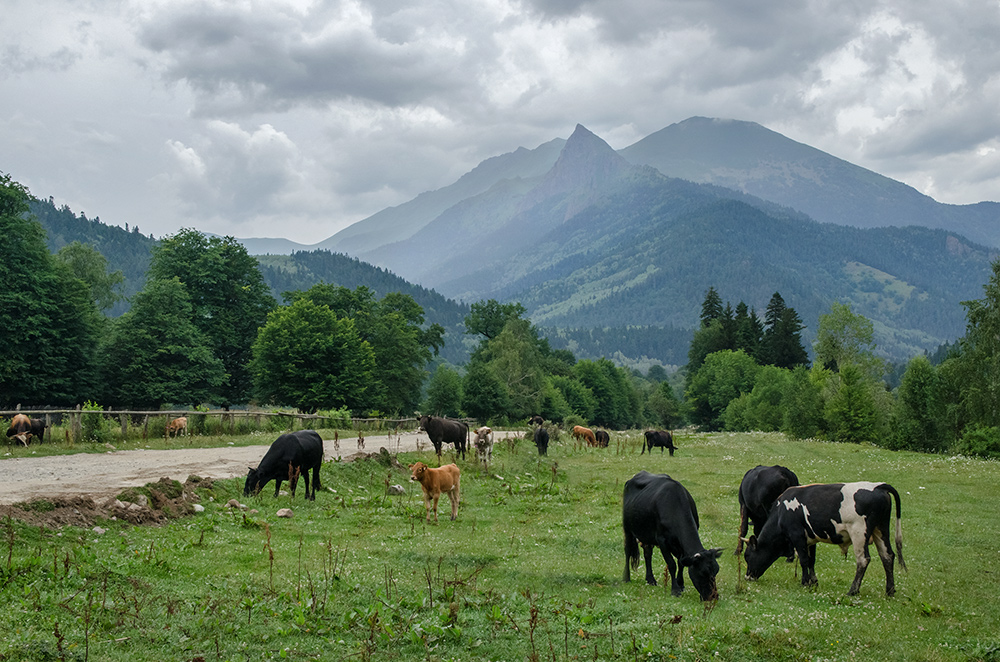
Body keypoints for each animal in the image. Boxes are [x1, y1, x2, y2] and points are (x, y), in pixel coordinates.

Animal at [620, 472, 724, 600]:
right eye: (702, 573)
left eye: (716, 571)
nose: (713, 597)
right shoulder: (662, 541)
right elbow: (672, 564)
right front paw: (675, 590)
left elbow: (681, 563)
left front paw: (681, 584)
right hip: (627, 529)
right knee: (628, 551)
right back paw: (626, 578)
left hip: (647, 535)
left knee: (647, 554)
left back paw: (651, 579)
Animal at [744, 482, 908, 596]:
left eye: (747, 556)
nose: (747, 577)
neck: (781, 513)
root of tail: (878, 486)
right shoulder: (810, 539)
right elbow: (811, 560)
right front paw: (813, 582)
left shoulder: (797, 535)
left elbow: (804, 560)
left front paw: (804, 583)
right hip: (880, 530)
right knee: (887, 556)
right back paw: (889, 591)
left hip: (859, 533)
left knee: (863, 560)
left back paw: (853, 590)